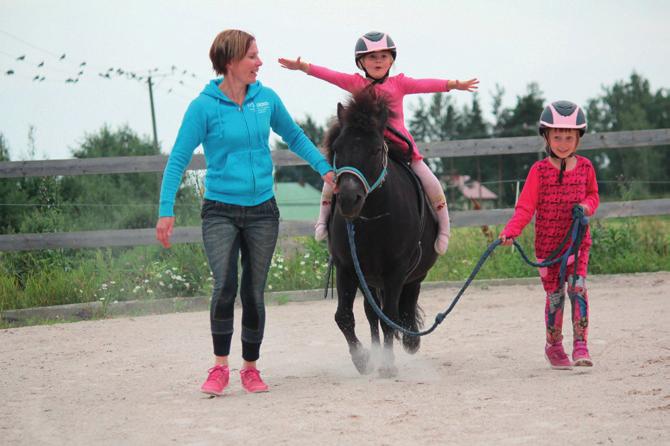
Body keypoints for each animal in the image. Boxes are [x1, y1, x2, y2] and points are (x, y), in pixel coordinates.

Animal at [326, 89, 440, 376]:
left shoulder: (396, 271)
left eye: (376, 148)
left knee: (405, 304)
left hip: (412, 275)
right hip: (370, 280)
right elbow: (344, 316)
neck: (372, 221)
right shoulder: (347, 267)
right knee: (371, 313)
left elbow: (390, 316)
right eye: (337, 147)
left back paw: (410, 339)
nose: (348, 199)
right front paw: (362, 359)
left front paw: (388, 364)